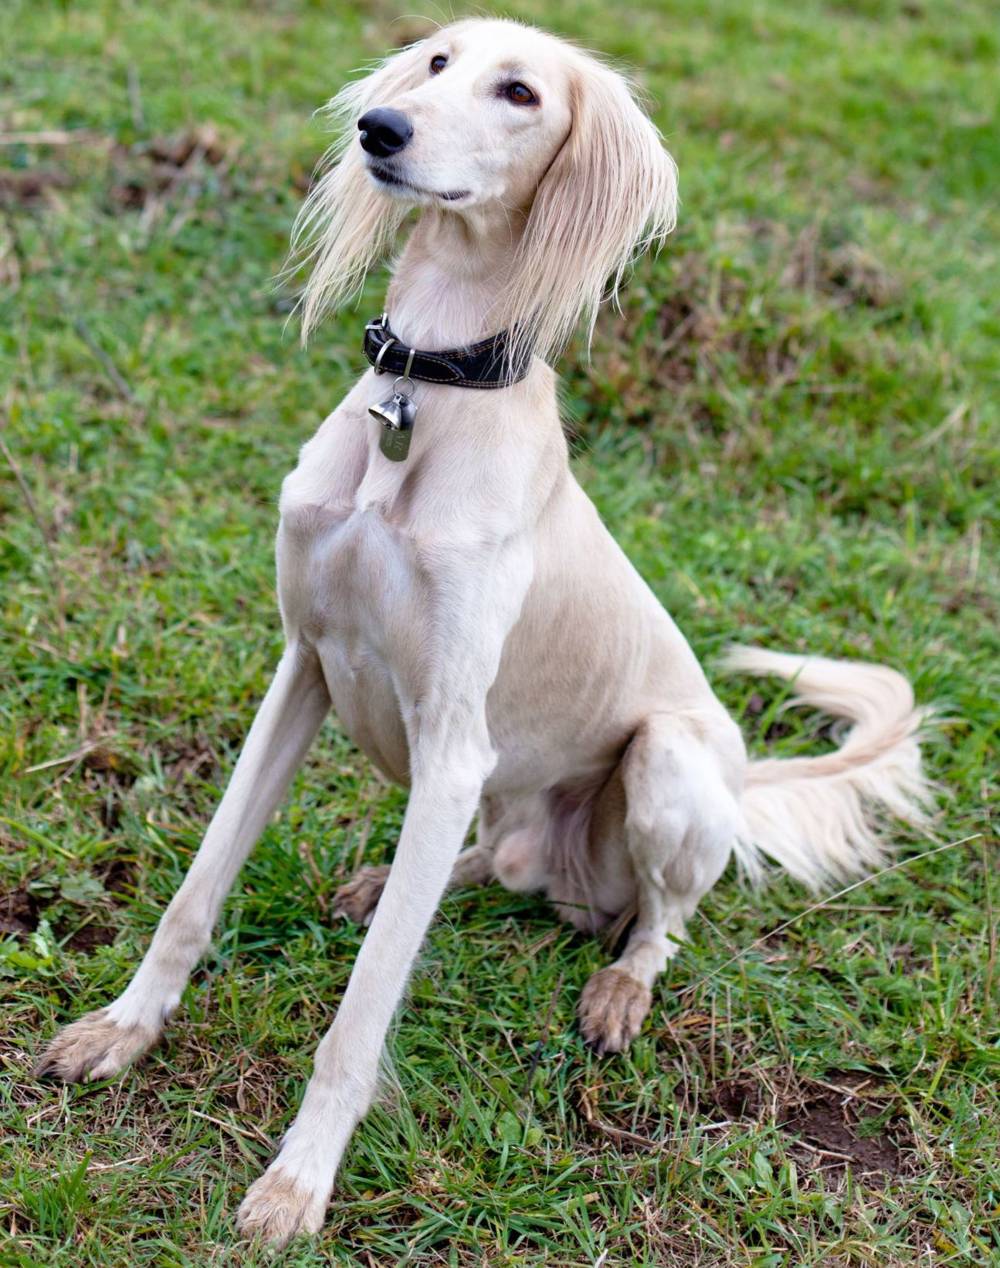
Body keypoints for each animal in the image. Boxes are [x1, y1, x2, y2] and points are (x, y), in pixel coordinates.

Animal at [37, 19, 927, 1247]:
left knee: (660, 919)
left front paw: (296, 1184)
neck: (425, 396)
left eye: (521, 93)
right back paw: (395, 883)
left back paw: (619, 988)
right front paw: (123, 1029)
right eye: (436, 63)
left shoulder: (453, 740)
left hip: (666, 761)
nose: (381, 129)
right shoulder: (301, 669)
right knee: (496, 862)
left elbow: (362, 1011)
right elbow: (194, 891)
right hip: (499, 800)